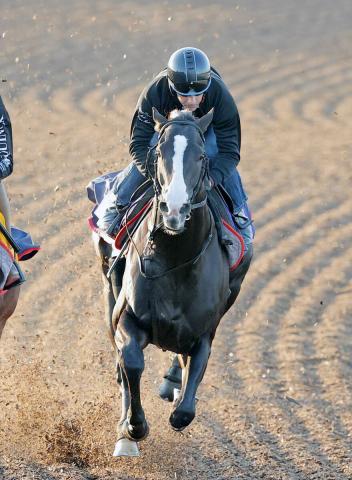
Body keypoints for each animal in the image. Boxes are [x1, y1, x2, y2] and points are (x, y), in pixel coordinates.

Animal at [99, 108, 252, 454]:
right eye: (159, 152)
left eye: (201, 156)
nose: (175, 209)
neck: (174, 259)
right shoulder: (126, 317)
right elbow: (131, 363)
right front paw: (132, 428)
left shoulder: (205, 332)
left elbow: (185, 408)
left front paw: (175, 397)